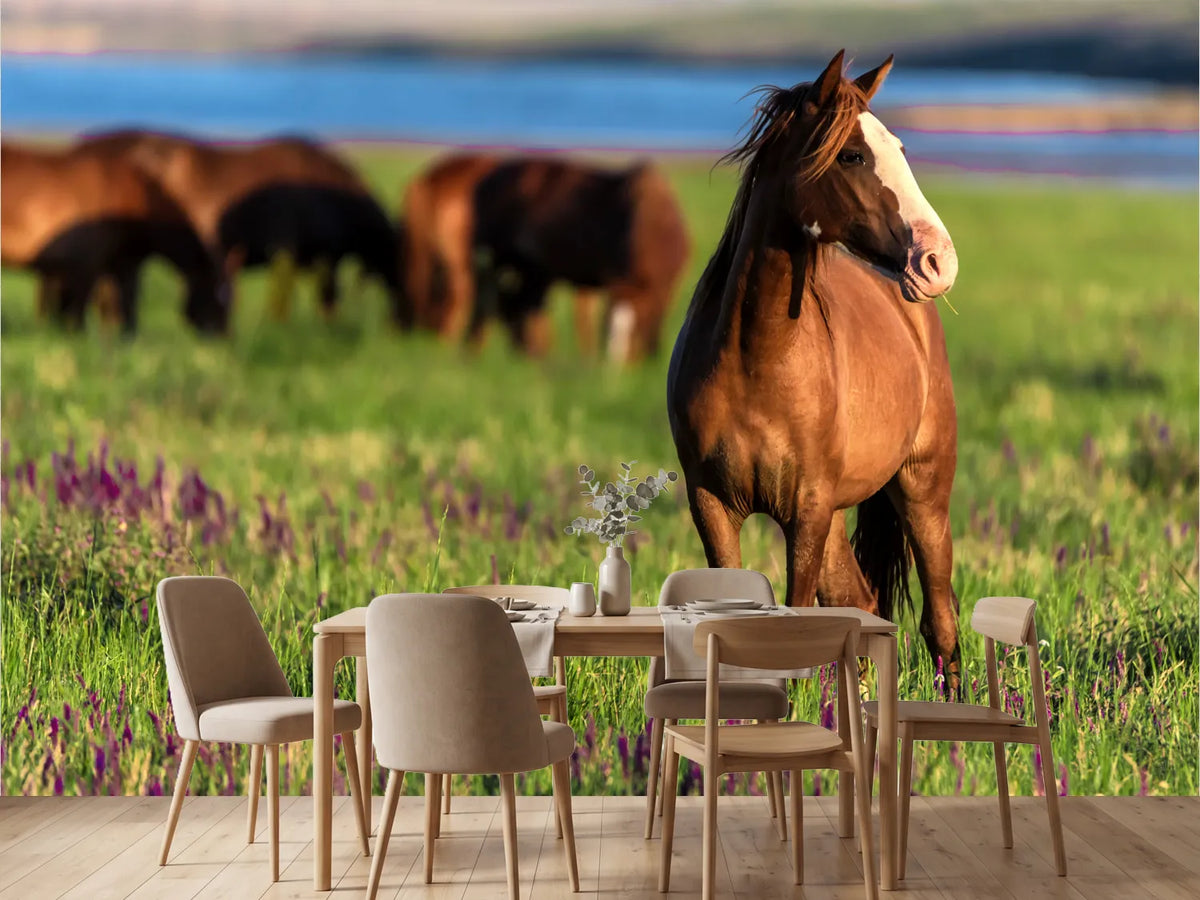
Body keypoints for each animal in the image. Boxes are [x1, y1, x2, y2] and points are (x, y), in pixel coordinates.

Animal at [0, 141, 230, 333]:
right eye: (219, 294)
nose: (220, 334)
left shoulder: (119, 263)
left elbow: (122, 304)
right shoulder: (86, 264)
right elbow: (80, 308)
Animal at [666, 51, 963, 689]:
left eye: (900, 148)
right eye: (851, 155)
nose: (938, 261)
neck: (757, 360)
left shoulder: (805, 510)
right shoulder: (714, 506)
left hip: (922, 493)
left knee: (941, 623)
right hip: (837, 518)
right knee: (862, 603)